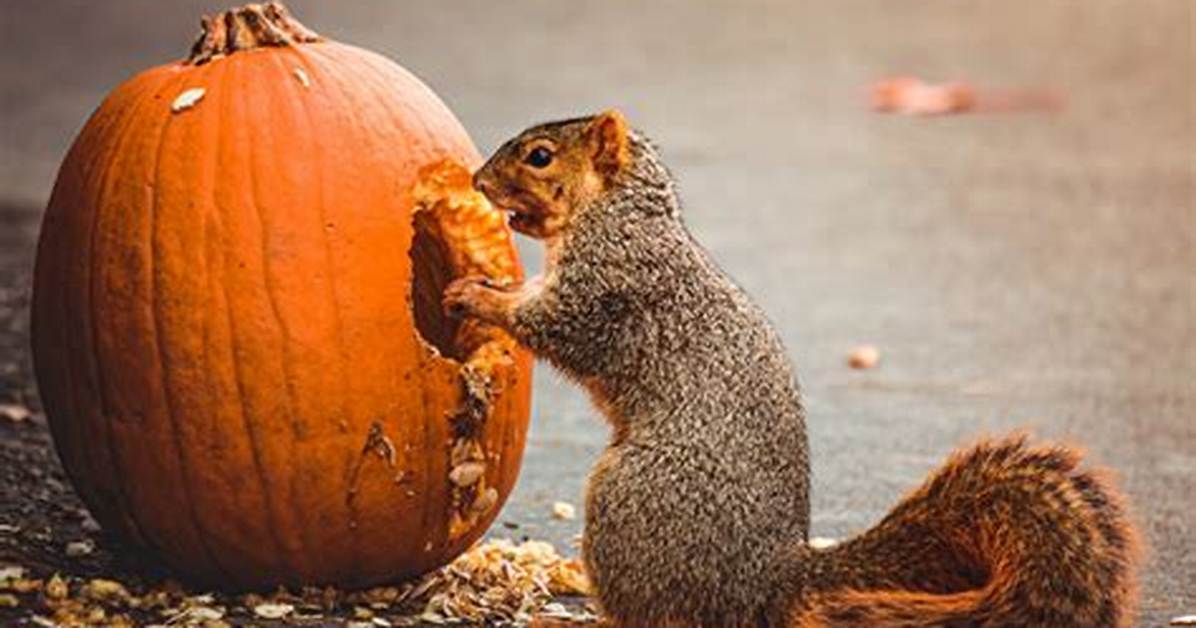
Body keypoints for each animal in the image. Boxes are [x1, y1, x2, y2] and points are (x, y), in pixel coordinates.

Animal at [443, 110, 1140, 627]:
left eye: (540, 156)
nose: (476, 180)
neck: (617, 214)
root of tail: (769, 583)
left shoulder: (608, 286)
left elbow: (554, 324)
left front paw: (476, 295)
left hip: (632, 499)